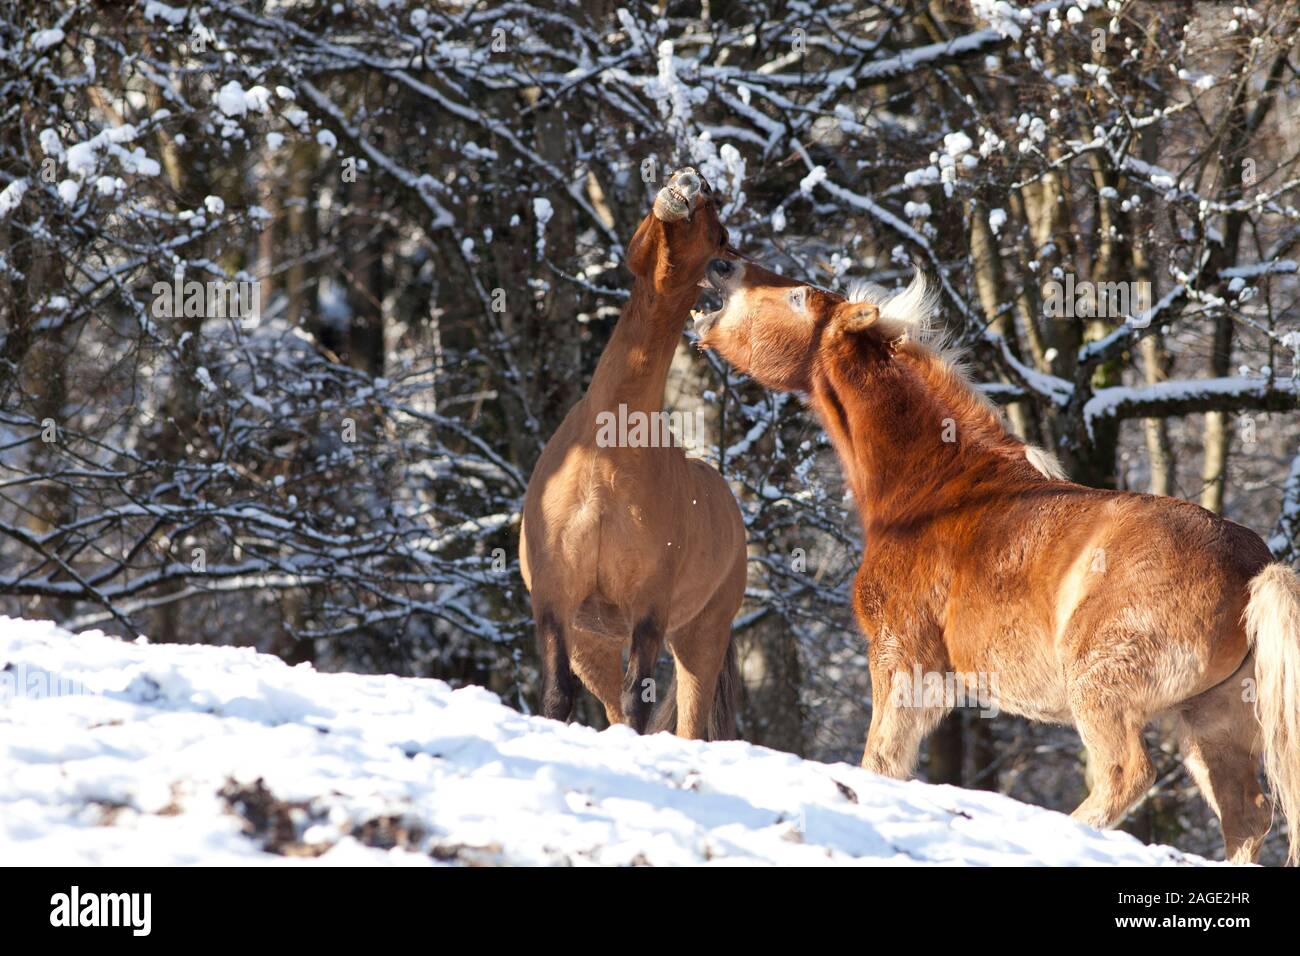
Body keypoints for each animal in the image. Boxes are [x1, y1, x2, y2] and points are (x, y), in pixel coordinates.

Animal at [514, 170, 748, 738]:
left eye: (719, 227)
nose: (690, 180)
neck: (606, 462)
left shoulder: (648, 609)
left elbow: (640, 701)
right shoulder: (554, 598)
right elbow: (557, 695)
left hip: (698, 639)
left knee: (686, 719)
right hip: (593, 641)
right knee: (609, 705)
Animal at [696, 256, 1300, 868]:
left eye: (797, 297)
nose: (722, 265)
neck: (938, 491)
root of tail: (1255, 570)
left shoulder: (902, 660)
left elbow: (881, 761)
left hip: (1105, 694)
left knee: (1126, 775)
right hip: (1211, 722)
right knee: (1247, 814)